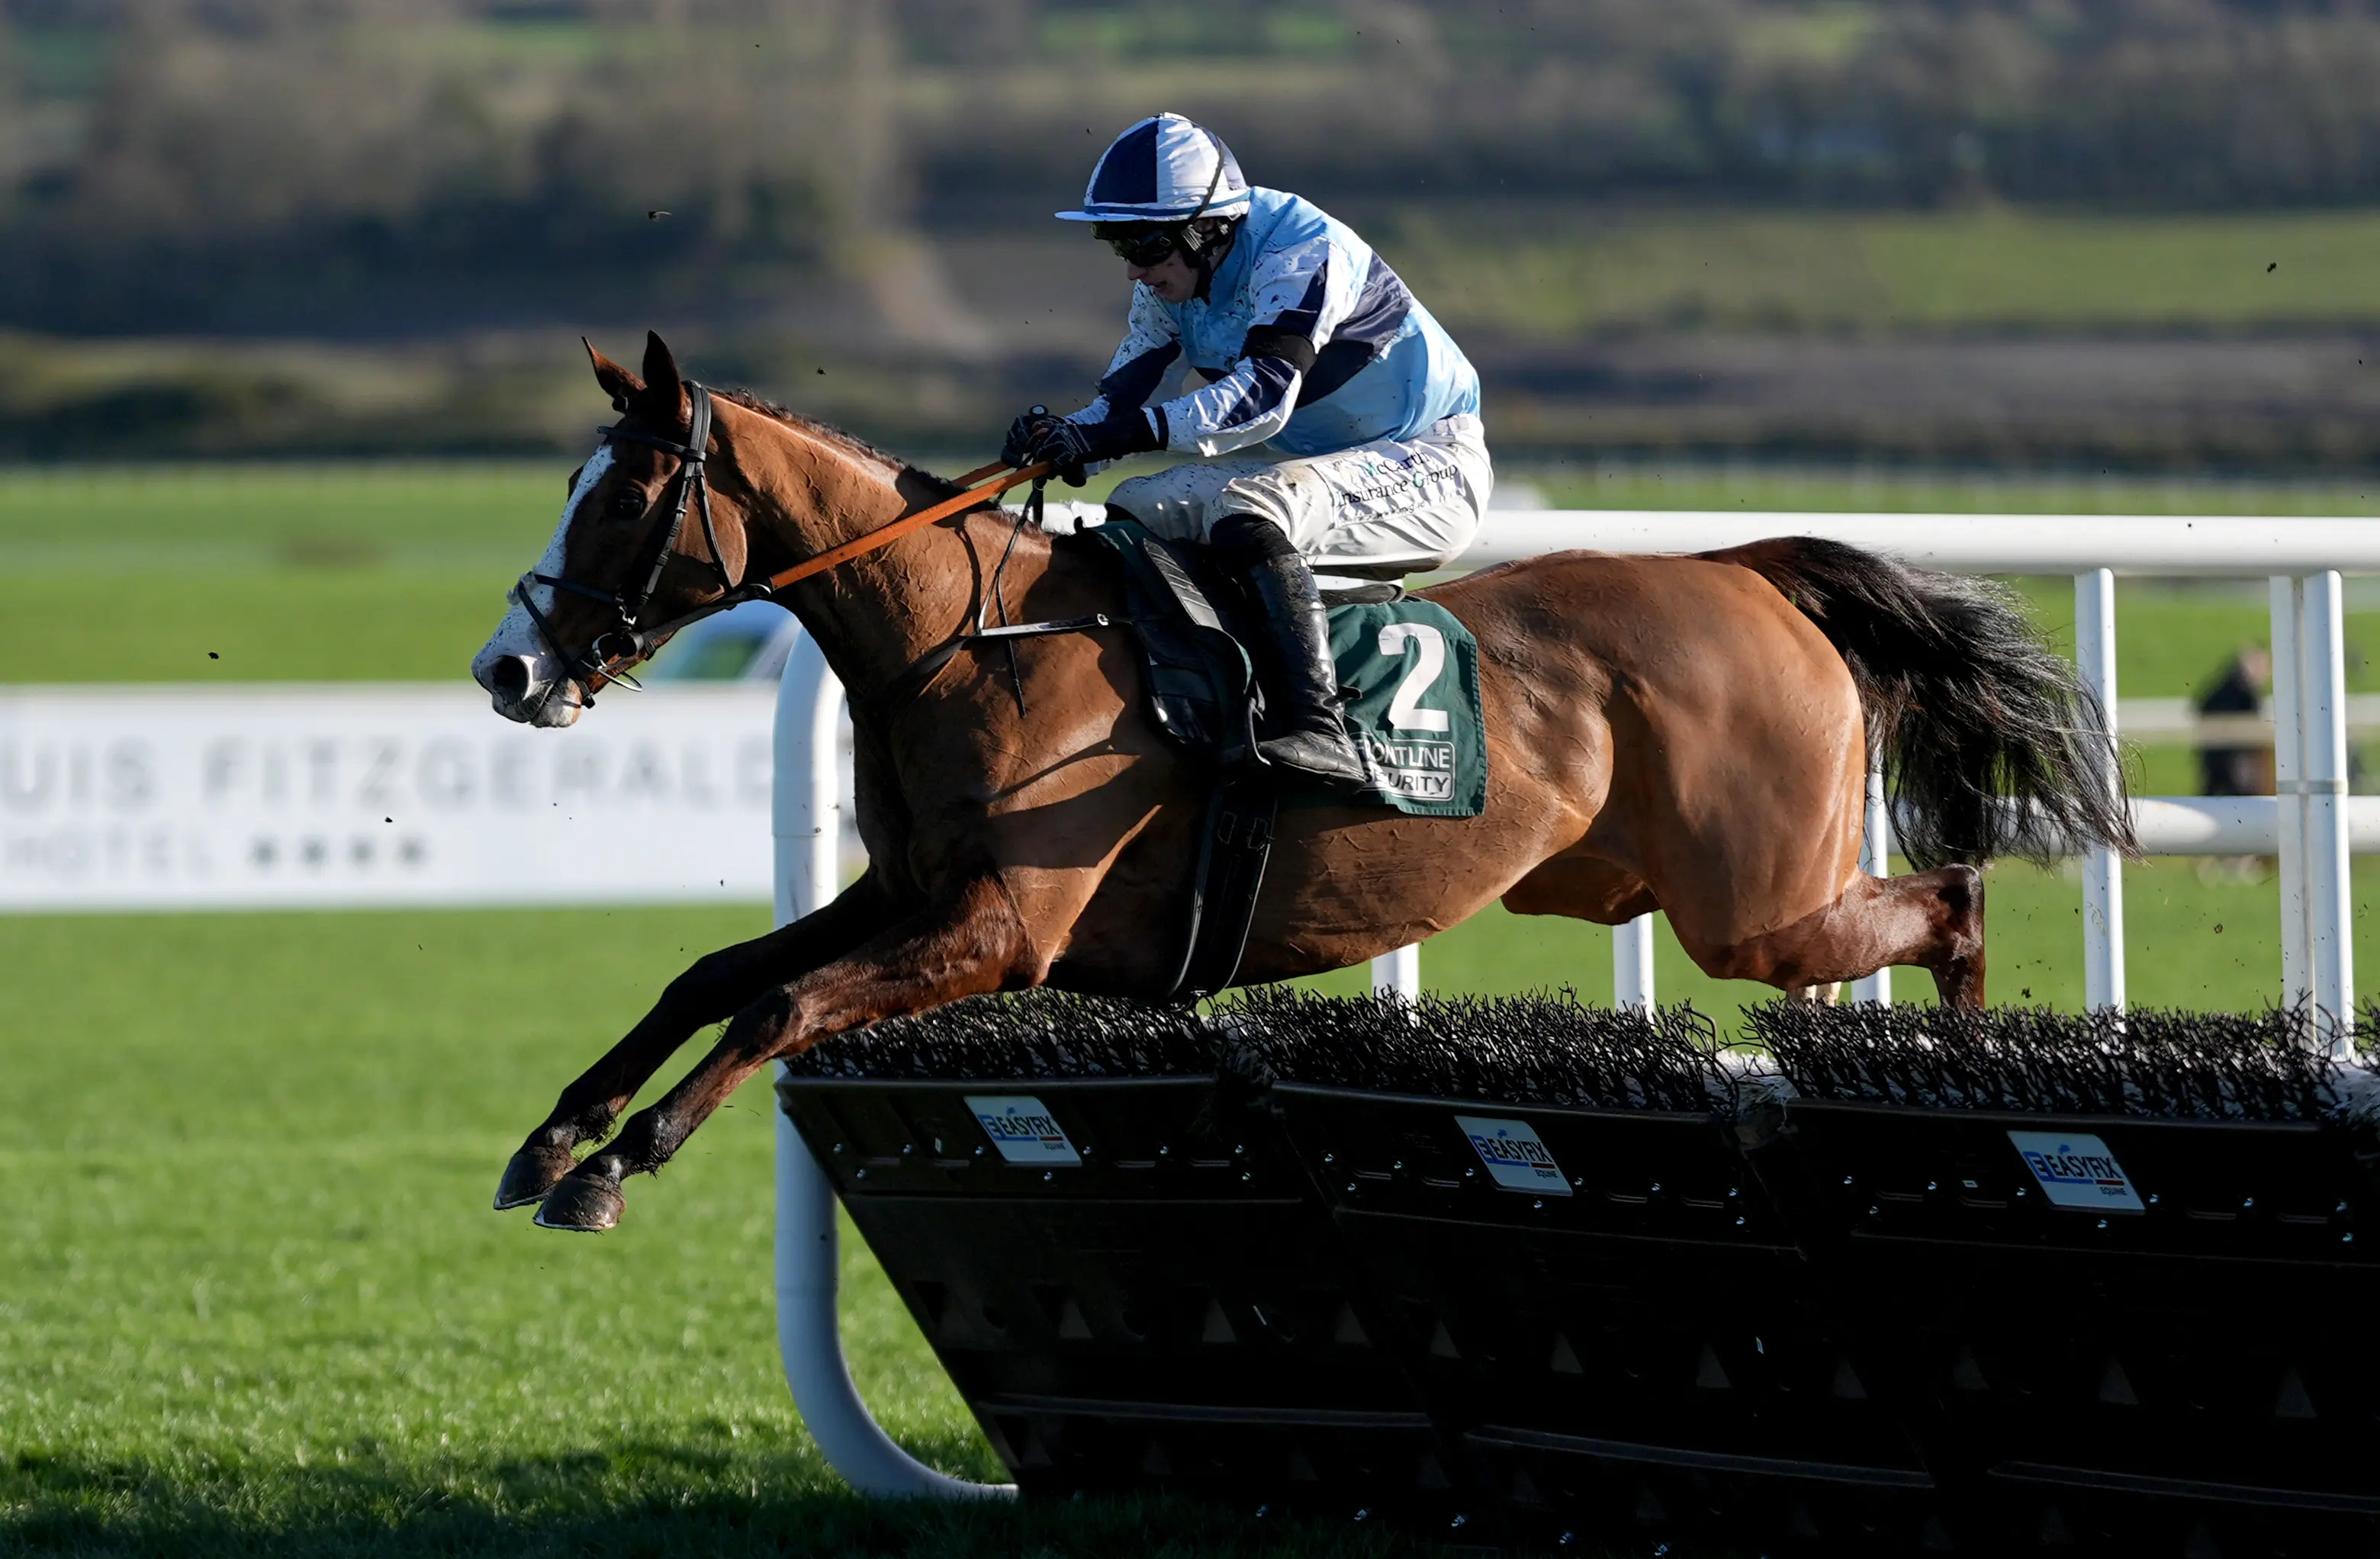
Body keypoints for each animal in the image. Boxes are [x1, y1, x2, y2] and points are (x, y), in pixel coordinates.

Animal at [474, 332, 2132, 1232]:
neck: (973, 641)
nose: (507, 666)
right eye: (572, 482)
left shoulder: (1001, 928)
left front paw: (617, 1163)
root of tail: (1748, 569)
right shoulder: (912, 890)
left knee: (1954, 897)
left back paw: (1970, 1064)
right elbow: (714, 973)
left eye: (627, 495)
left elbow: (778, 1005)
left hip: (1759, 904)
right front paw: (555, 1131)